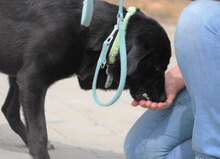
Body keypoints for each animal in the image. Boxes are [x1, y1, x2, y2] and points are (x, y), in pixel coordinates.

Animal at [0, 0, 171, 158]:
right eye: (158, 68)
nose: (164, 98)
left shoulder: (25, 78)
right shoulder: (32, 80)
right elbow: (39, 132)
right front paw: (41, 153)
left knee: (9, 110)